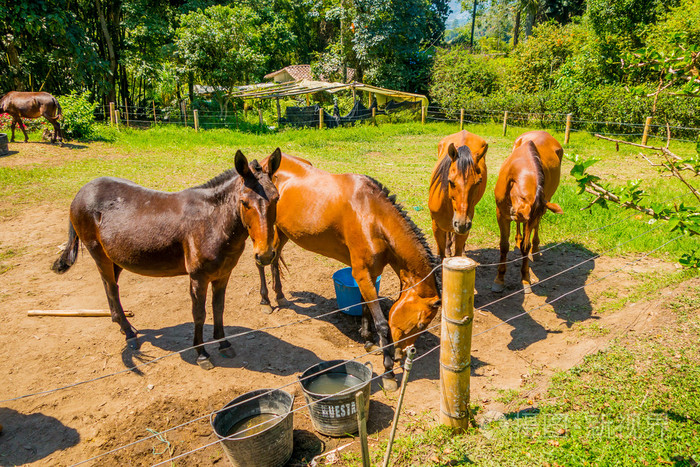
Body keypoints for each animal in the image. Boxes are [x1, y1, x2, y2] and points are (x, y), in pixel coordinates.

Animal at [51, 149, 282, 369]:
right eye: (244, 202)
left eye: (276, 198)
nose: (265, 255)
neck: (212, 221)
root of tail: (82, 192)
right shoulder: (198, 278)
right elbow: (199, 313)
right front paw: (201, 353)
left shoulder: (223, 274)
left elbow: (219, 308)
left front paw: (223, 343)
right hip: (99, 254)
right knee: (110, 287)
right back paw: (128, 332)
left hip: (114, 257)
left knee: (111, 287)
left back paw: (124, 326)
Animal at [256, 153, 442, 391]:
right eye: (420, 324)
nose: (403, 353)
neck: (372, 216)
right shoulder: (362, 273)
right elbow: (382, 323)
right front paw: (389, 372)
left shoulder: (369, 274)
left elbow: (365, 306)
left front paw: (368, 341)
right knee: (261, 262)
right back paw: (265, 301)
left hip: (282, 231)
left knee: (274, 258)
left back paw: (279, 295)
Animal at [492, 131, 563, 294]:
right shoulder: (502, 214)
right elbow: (504, 246)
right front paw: (499, 280)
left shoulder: (531, 216)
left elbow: (527, 245)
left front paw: (525, 279)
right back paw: (518, 242)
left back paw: (535, 249)